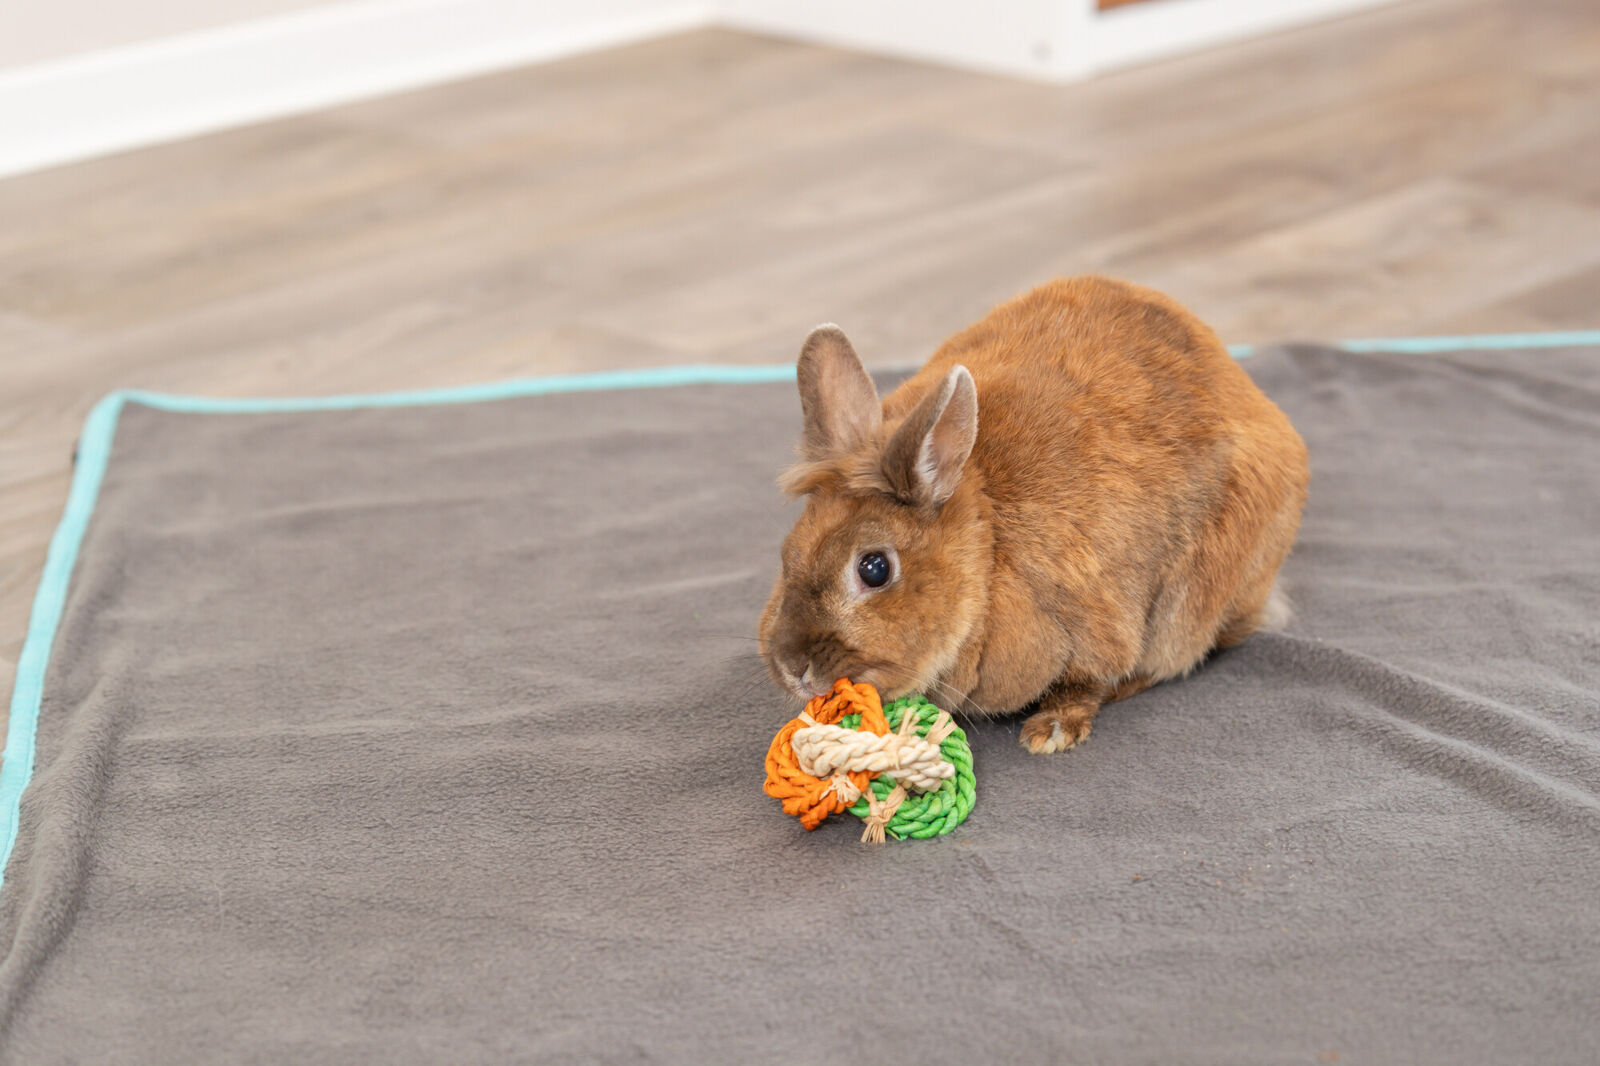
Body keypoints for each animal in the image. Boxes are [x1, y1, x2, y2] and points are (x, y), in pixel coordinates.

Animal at [755, 275, 1305, 755]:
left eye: (874, 568)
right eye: (786, 553)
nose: (793, 666)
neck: (988, 552)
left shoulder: (1099, 622)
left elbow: (1089, 681)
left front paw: (1051, 732)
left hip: (1192, 602)